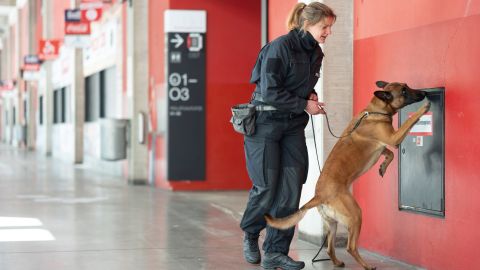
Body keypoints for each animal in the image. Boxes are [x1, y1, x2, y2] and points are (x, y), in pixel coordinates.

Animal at [266, 80, 432, 270]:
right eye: (404, 91)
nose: (424, 93)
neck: (377, 109)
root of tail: (319, 195)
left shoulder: (384, 145)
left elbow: (389, 154)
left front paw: (383, 167)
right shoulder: (393, 138)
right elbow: (410, 122)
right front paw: (423, 108)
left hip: (332, 224)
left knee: (330, 248)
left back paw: (337, 262)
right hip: (356, 215)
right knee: (350, 247)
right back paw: (366, 266)